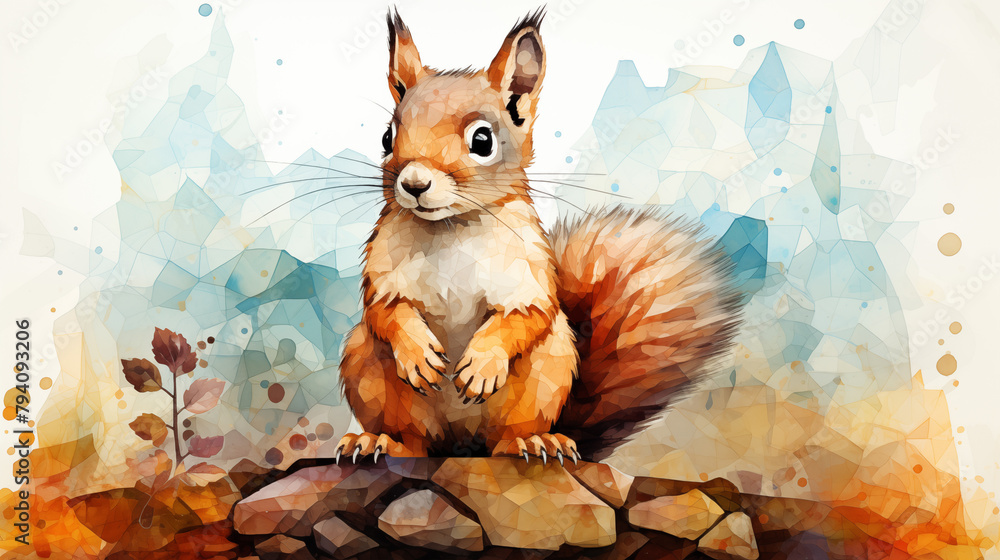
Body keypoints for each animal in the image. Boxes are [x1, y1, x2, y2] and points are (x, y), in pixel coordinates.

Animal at [337, 9, 743, 464]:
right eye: (387, 137)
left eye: (483, 140)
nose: (414, 184)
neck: (451, 227)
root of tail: (462, 446)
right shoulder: (384, 273)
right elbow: (386, 311)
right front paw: (417, 352)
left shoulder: (528, 274)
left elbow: (529, 315)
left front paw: (482, 363)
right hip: (370, 368)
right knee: (415, 441)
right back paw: (378, 442)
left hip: (547, 370)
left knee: (506, 437)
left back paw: (532, 442)